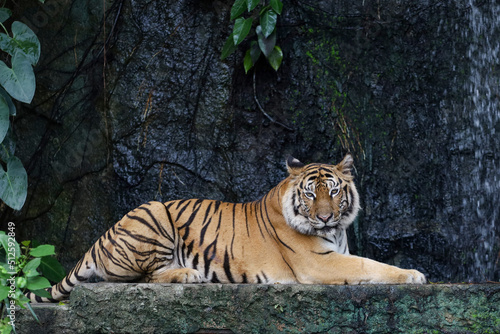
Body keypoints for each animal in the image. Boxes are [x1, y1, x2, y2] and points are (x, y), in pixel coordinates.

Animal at [26, 154, 426, 302]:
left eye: (335, 192)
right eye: (311, 194)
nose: (326, 217)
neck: (335, 231)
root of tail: (97, 241)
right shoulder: (318, 263)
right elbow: (370, 266)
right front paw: (414, 275)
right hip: (153, 210)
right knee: (141, 277)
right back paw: (188, 275)